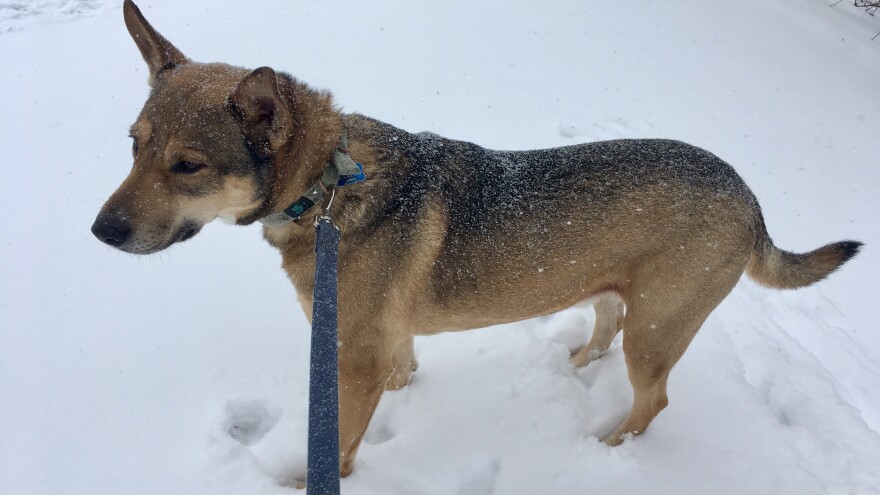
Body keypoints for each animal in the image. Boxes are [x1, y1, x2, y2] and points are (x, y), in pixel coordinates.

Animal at [93, 0, 864, 480]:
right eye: (132, 145)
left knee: (653, 402)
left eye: (188, 166)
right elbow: (401, 374)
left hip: (659, 328)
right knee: (606, 323)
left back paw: (606, 447)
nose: (100, 231)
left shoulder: (355, 361)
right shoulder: (387, 344)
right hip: (615, 289)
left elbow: (337, 447)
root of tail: (752, 200)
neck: (326, 186)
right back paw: (575, 364)